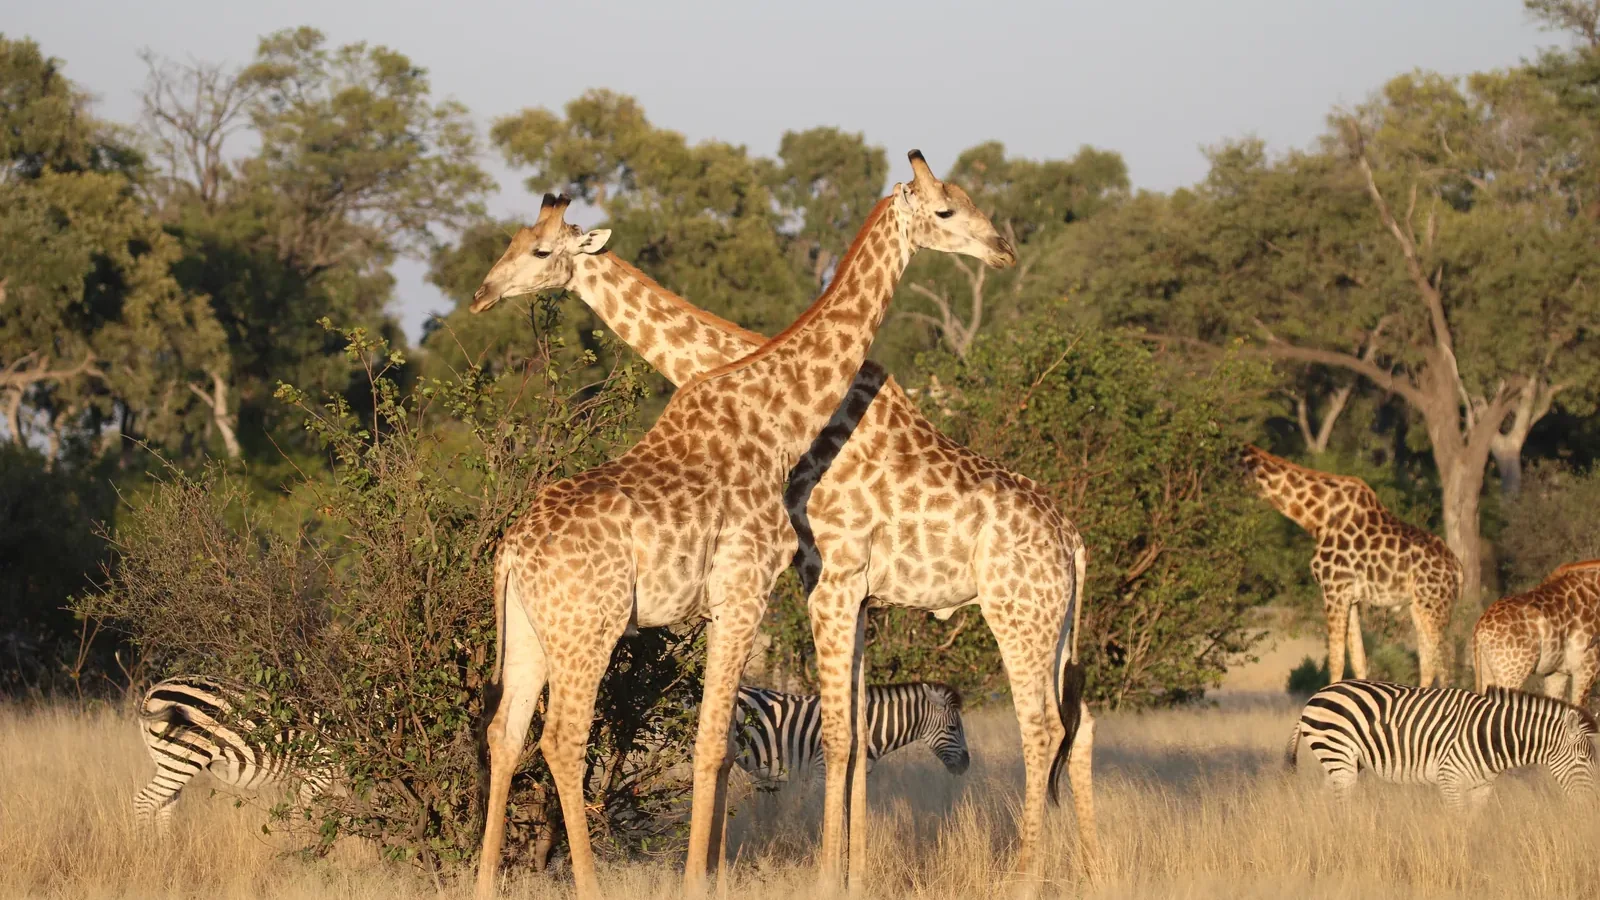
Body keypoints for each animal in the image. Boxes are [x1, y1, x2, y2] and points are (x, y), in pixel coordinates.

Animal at [132, 676, 335, 830]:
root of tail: (152, 691)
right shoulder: (320, 771)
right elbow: (301, 816)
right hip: (186, 755)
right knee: (144, 802)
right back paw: (146, 849)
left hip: (167, 758)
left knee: (164, 806)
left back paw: (167, 849)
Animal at [1241, 445, 1463, 688]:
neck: (1317, 517)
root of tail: (1458, 569)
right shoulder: (1350, 596)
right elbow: (1358, 660)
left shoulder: (1334, 589)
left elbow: (1336, 662)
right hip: (1419, 606)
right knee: (1429, 662)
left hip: (1435, 606)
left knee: (1446, 664)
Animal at [1286, 679, 1599, 809]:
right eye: (1584, 759)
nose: (1592, 806)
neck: (1490, 736)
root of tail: (1318, 694)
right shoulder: (1450, 779)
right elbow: (1457, 823)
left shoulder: (1482, 786)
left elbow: (1474, 825)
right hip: (1339, 755)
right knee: (1342, 802)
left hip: (1345, 762)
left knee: (1324, 797)